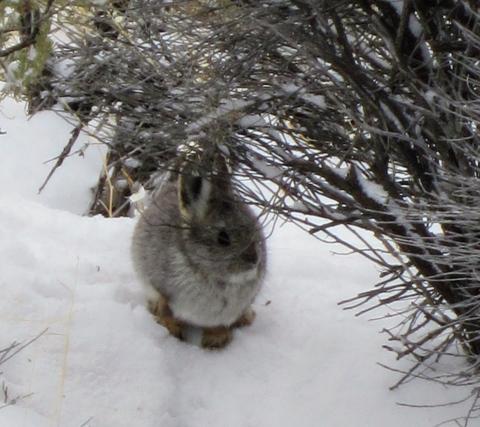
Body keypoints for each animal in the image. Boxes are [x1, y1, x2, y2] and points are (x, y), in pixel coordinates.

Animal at [131, 150, 266, 348]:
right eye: (223, 238)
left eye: (255, 228)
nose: (254, 260)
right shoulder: (159, 286)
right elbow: (165, 308)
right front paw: (172, 329)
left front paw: (216, 340)